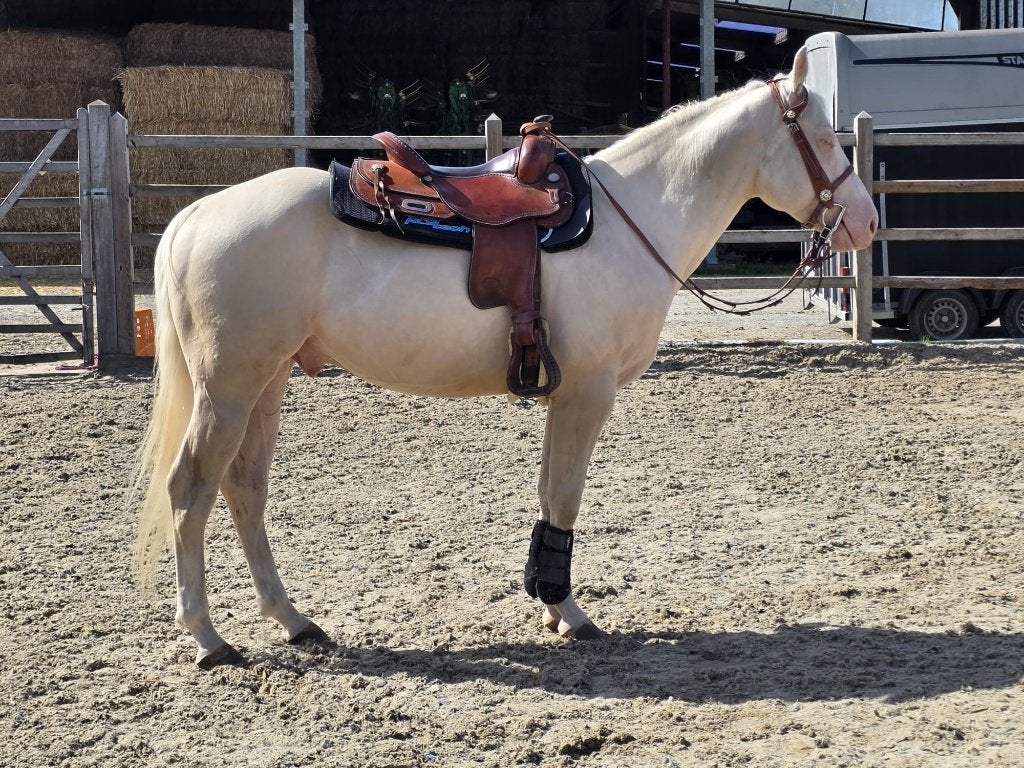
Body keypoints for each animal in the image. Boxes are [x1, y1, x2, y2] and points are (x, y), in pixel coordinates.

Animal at [133, 47, 877, 668]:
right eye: (820, 138)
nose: (867, 223)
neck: (633, 219)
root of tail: (197, 215)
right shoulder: (587, 393)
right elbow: (567, 496)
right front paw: (569, 612)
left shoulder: (563, 394)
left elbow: (550, 494)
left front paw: (550, 606)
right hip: (229, 388)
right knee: (189, 490)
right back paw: (207, 637)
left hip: (267, 383)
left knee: (244, 490)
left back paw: (293, 620)